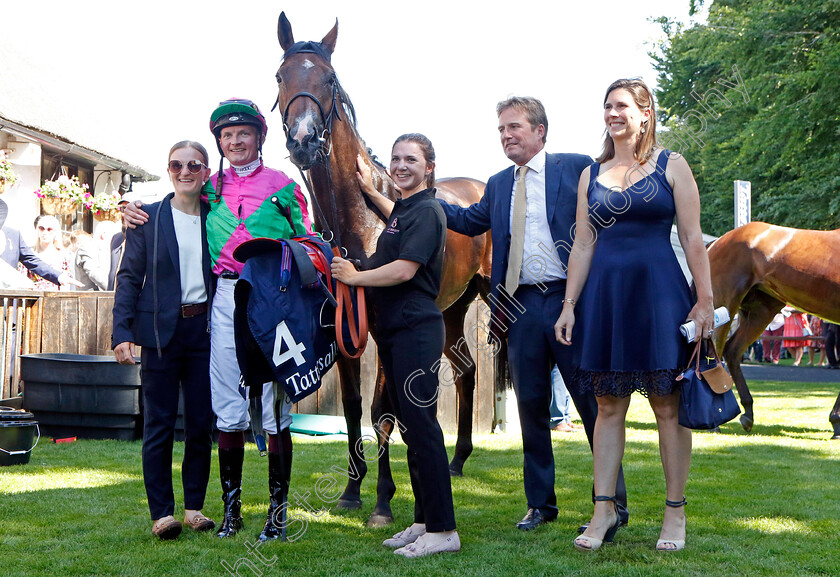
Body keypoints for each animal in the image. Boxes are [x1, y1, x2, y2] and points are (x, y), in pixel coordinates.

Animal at [274, 13, 506, 528]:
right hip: (452, 310)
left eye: (330, 79)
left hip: (491, 298)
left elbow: (382, 411)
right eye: (281, 76)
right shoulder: (343, 326)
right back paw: (457, 460)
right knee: (465, 371)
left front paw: (381, 499)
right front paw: (351, 490)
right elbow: (353, 408)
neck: (360, 221)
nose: (303, 140)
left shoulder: (381, 329)